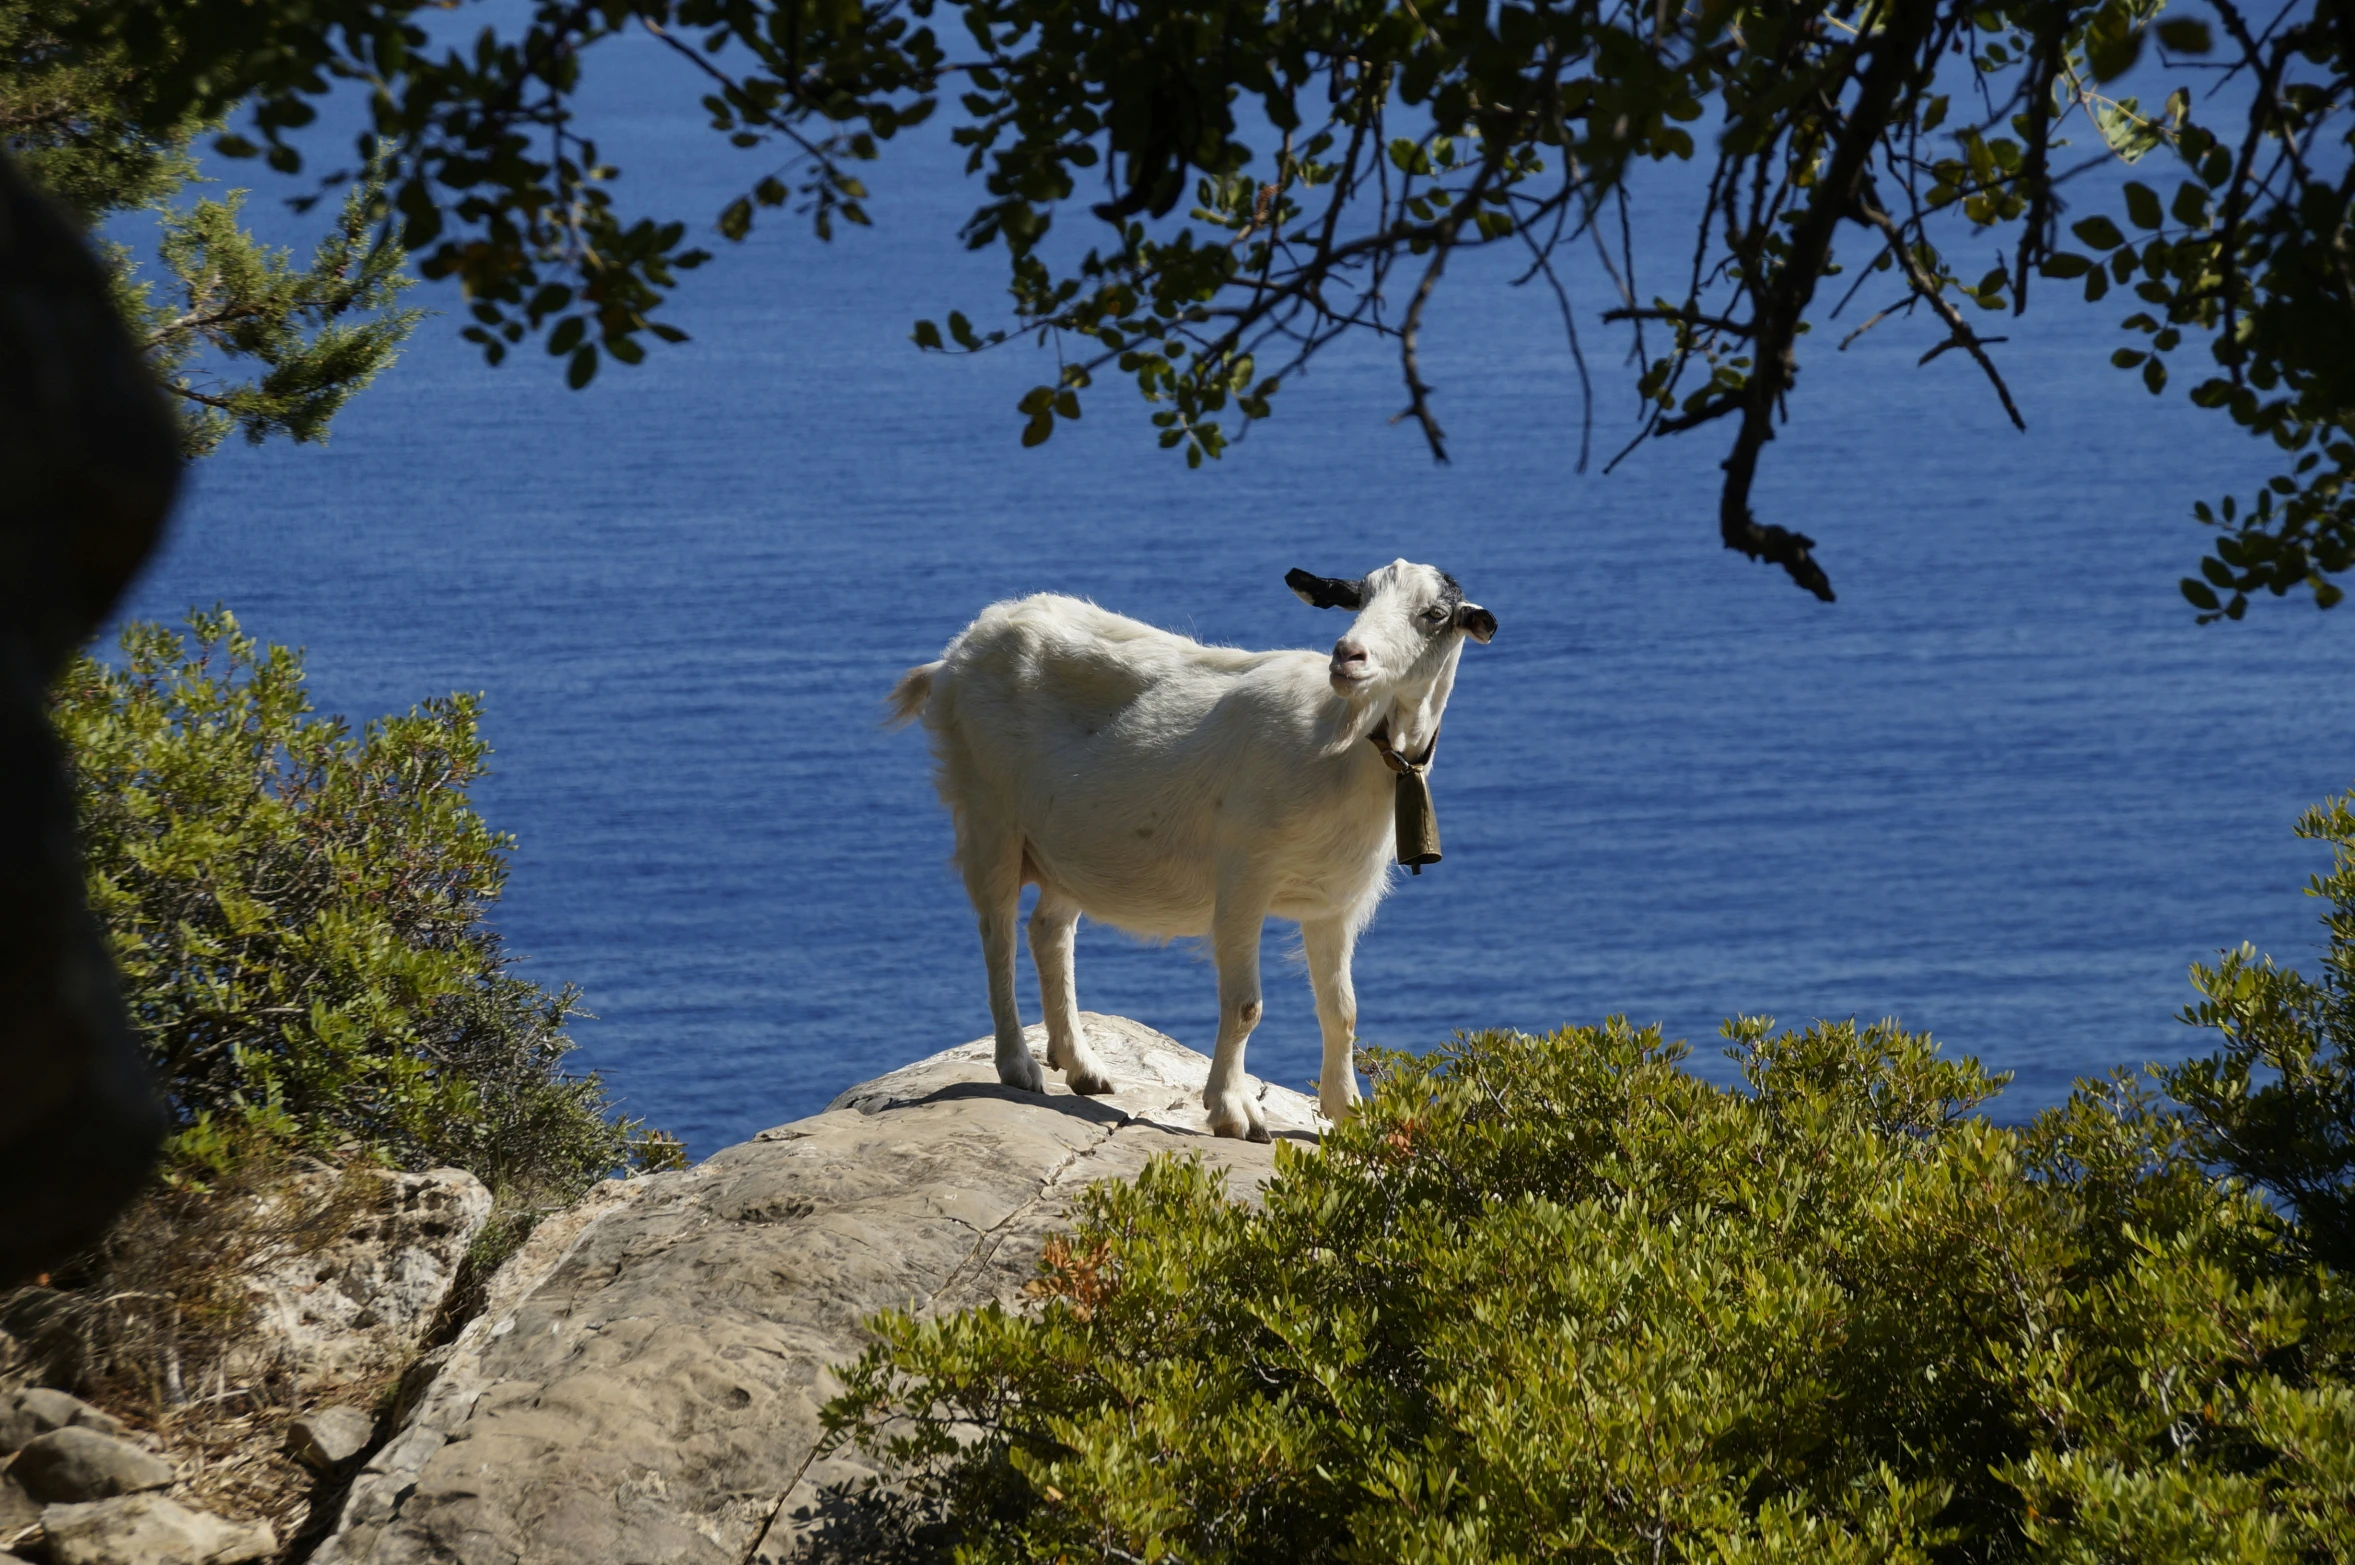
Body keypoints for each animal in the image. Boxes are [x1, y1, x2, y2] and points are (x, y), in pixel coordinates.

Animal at [885, 557, 1488, 1134]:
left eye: (1434, 614)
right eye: (1358, 599)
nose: (1347, 657)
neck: (1341, 742)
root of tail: (955, 656)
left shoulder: (1334, 901)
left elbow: (1342, 1010)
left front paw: (1347, 1114)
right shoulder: (1245, 877)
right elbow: (1245, 1006)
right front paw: (1232, 1112)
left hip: (1071, 846)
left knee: (1048, 931)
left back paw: (1082, 1066)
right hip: (989, 814)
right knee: (998, 934)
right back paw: (1018, 1065)